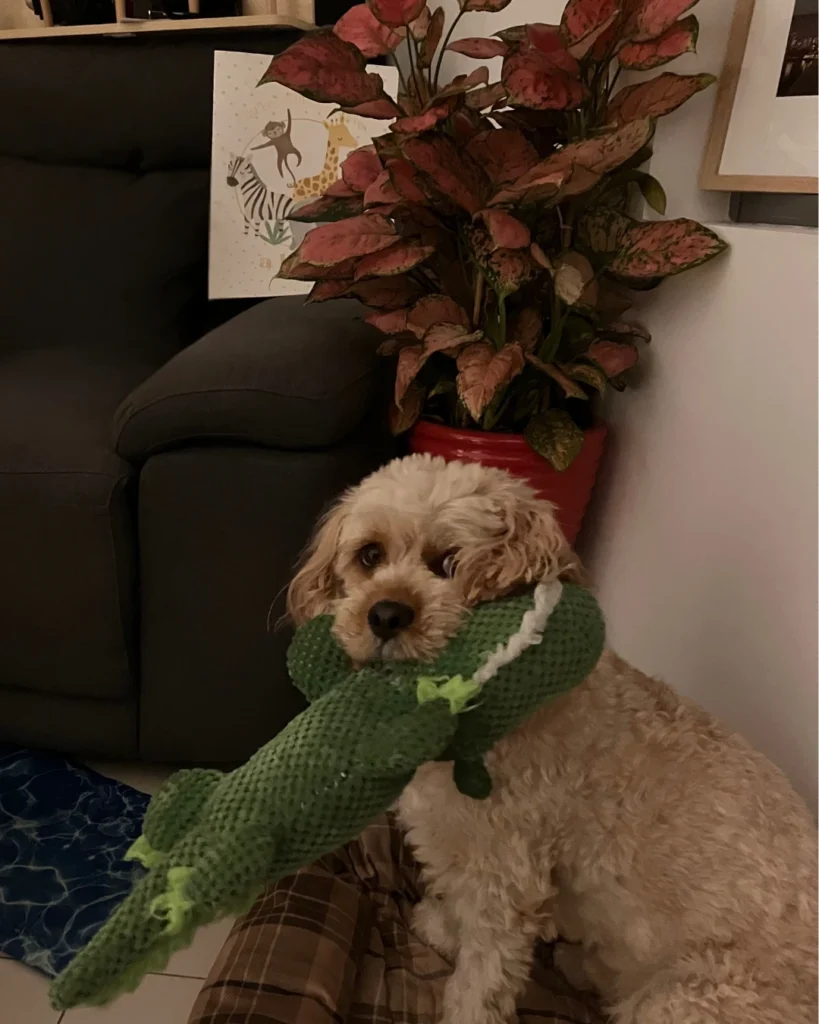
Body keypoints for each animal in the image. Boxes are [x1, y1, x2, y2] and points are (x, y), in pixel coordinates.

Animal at [284, 454, 814, 1024]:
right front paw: (444, 927)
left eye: (450, 563)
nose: (385, 614)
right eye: (370, 555)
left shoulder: (507, 875)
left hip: (687, 1000)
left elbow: (482, 974)